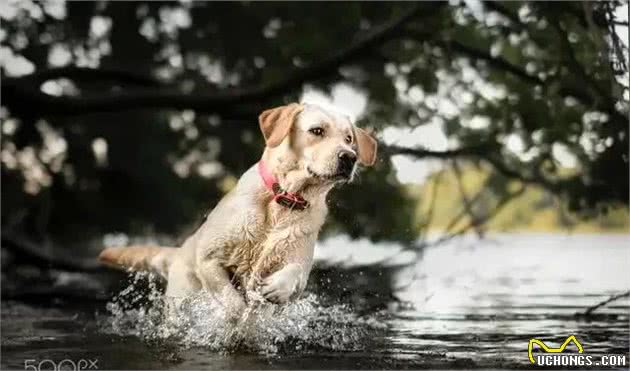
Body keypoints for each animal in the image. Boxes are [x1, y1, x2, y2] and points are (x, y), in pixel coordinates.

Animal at [99, 103, 376, 318]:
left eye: (349, 139)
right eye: (317, 131)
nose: (349, 157)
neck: (283, 201)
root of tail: (180, 250)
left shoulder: (299, 269)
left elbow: (295, 272)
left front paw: (277, 288)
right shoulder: (209, 258)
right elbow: (229, 298)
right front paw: (235, 316)